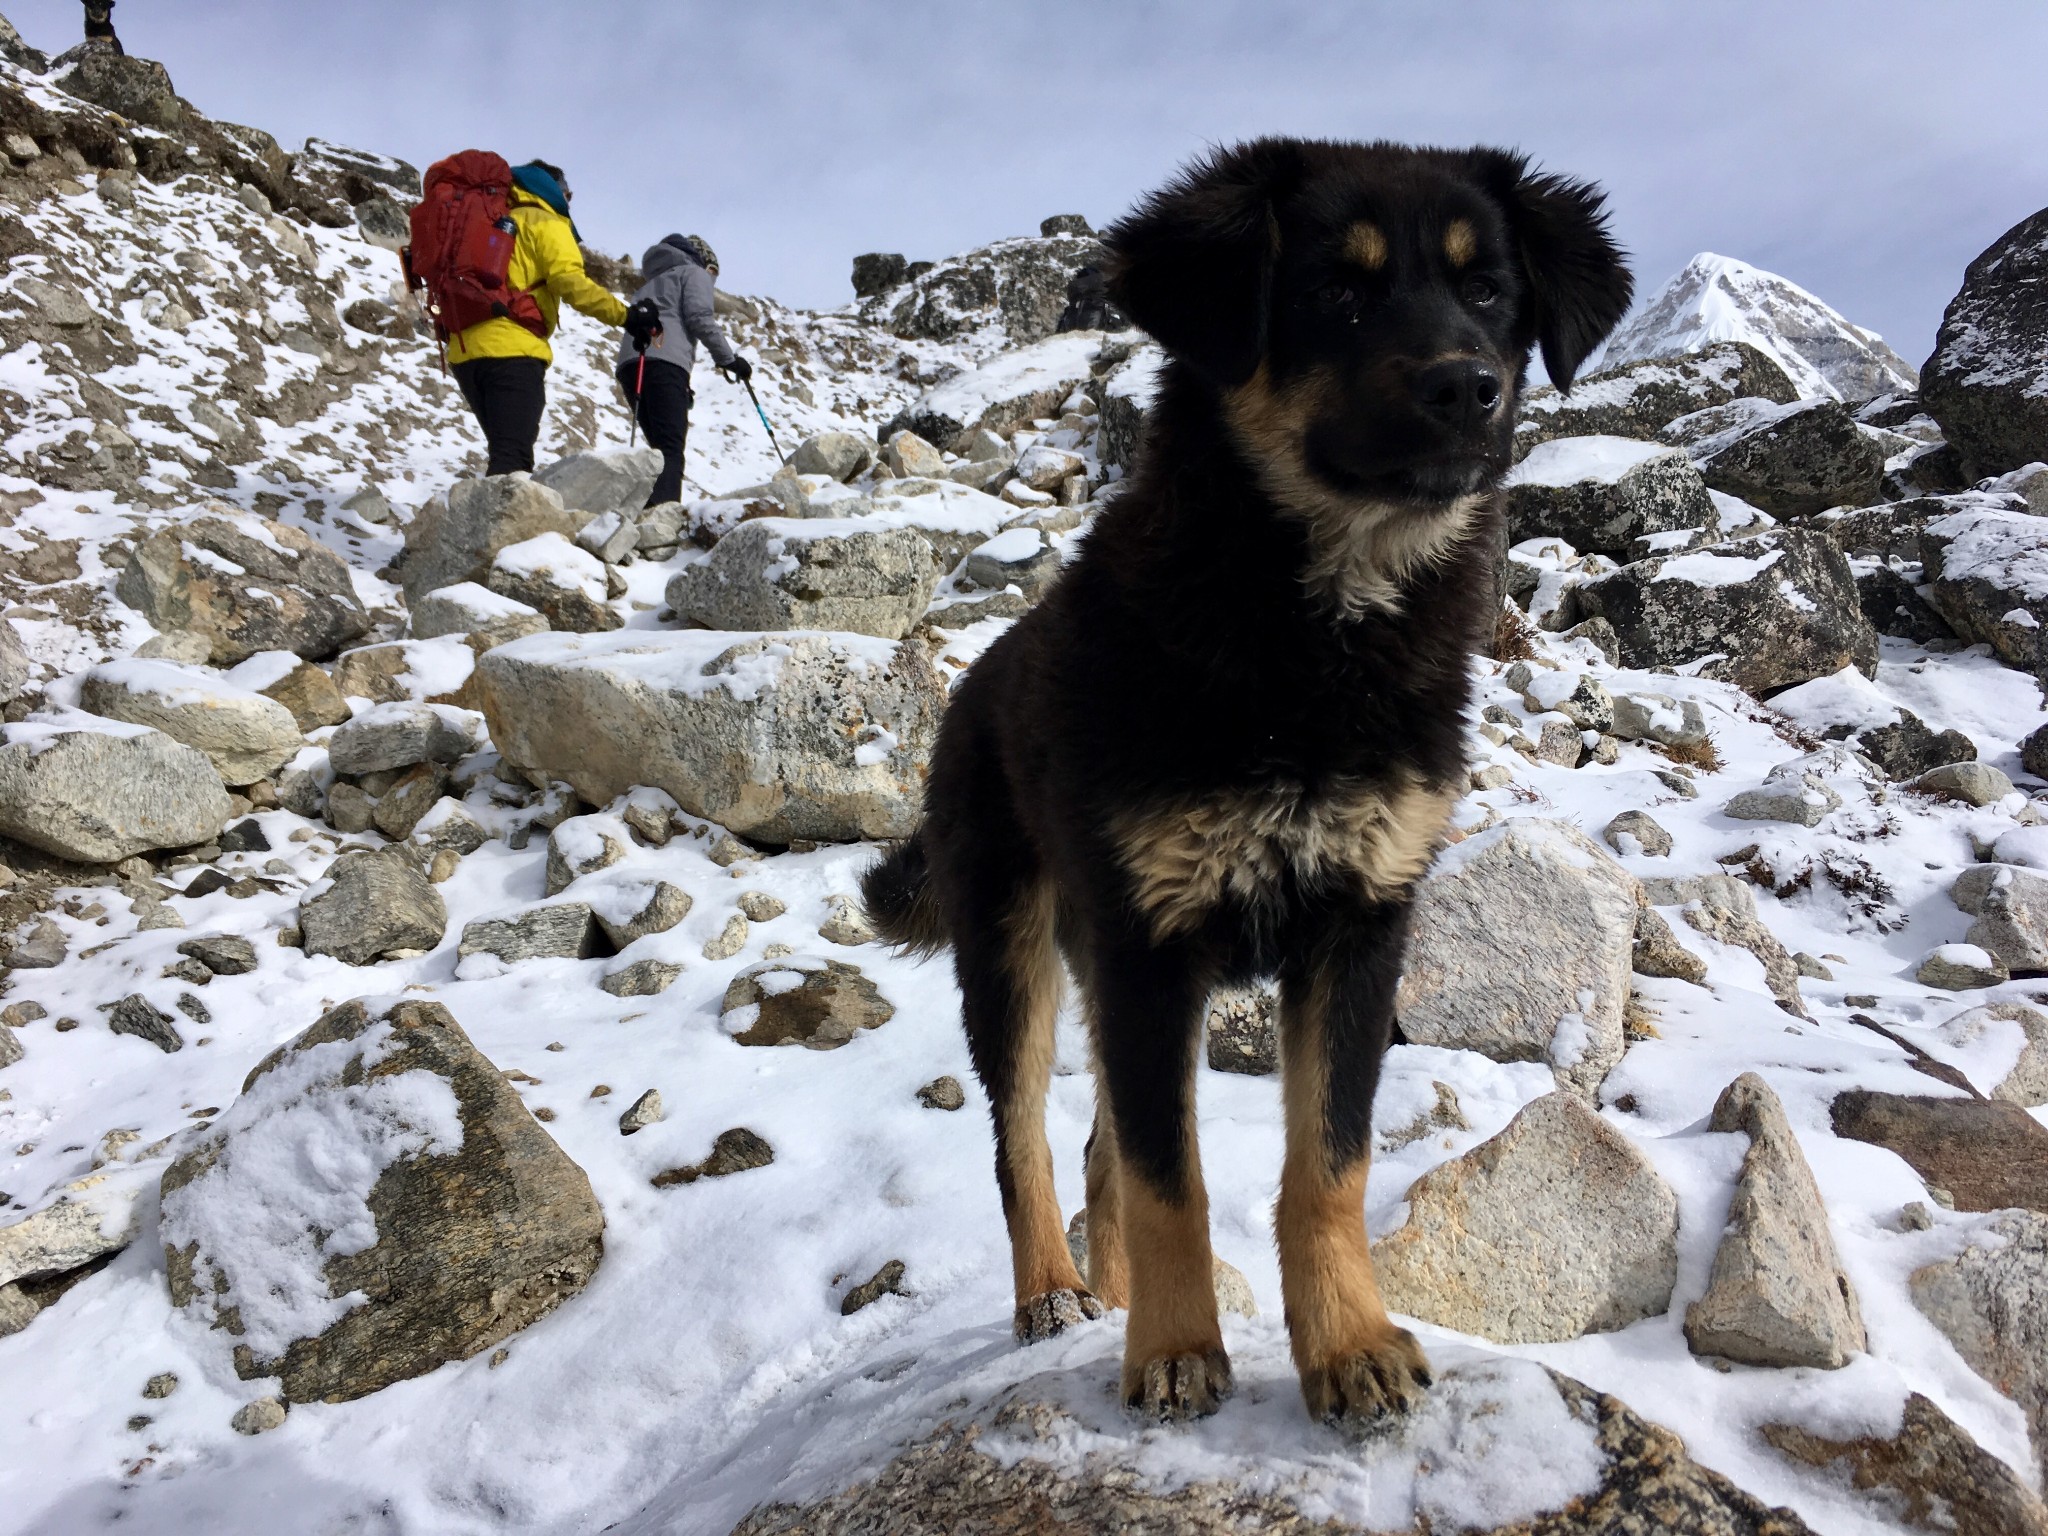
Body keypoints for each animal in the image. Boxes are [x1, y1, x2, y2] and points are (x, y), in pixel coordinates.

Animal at [860, 138, 1630, 1425]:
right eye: (1333, 291)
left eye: (1487, 291)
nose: (1468, 388)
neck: (1311, 641)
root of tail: (971, 686)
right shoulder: (1150, 942)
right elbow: (1173, 1179)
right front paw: (1176, 1352)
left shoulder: (1360, 923)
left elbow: (1326, 1163)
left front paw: (1348, 1343)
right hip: (1010, 941)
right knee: (1026, 1140)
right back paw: (1055, 1293)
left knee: (1101, 1147)